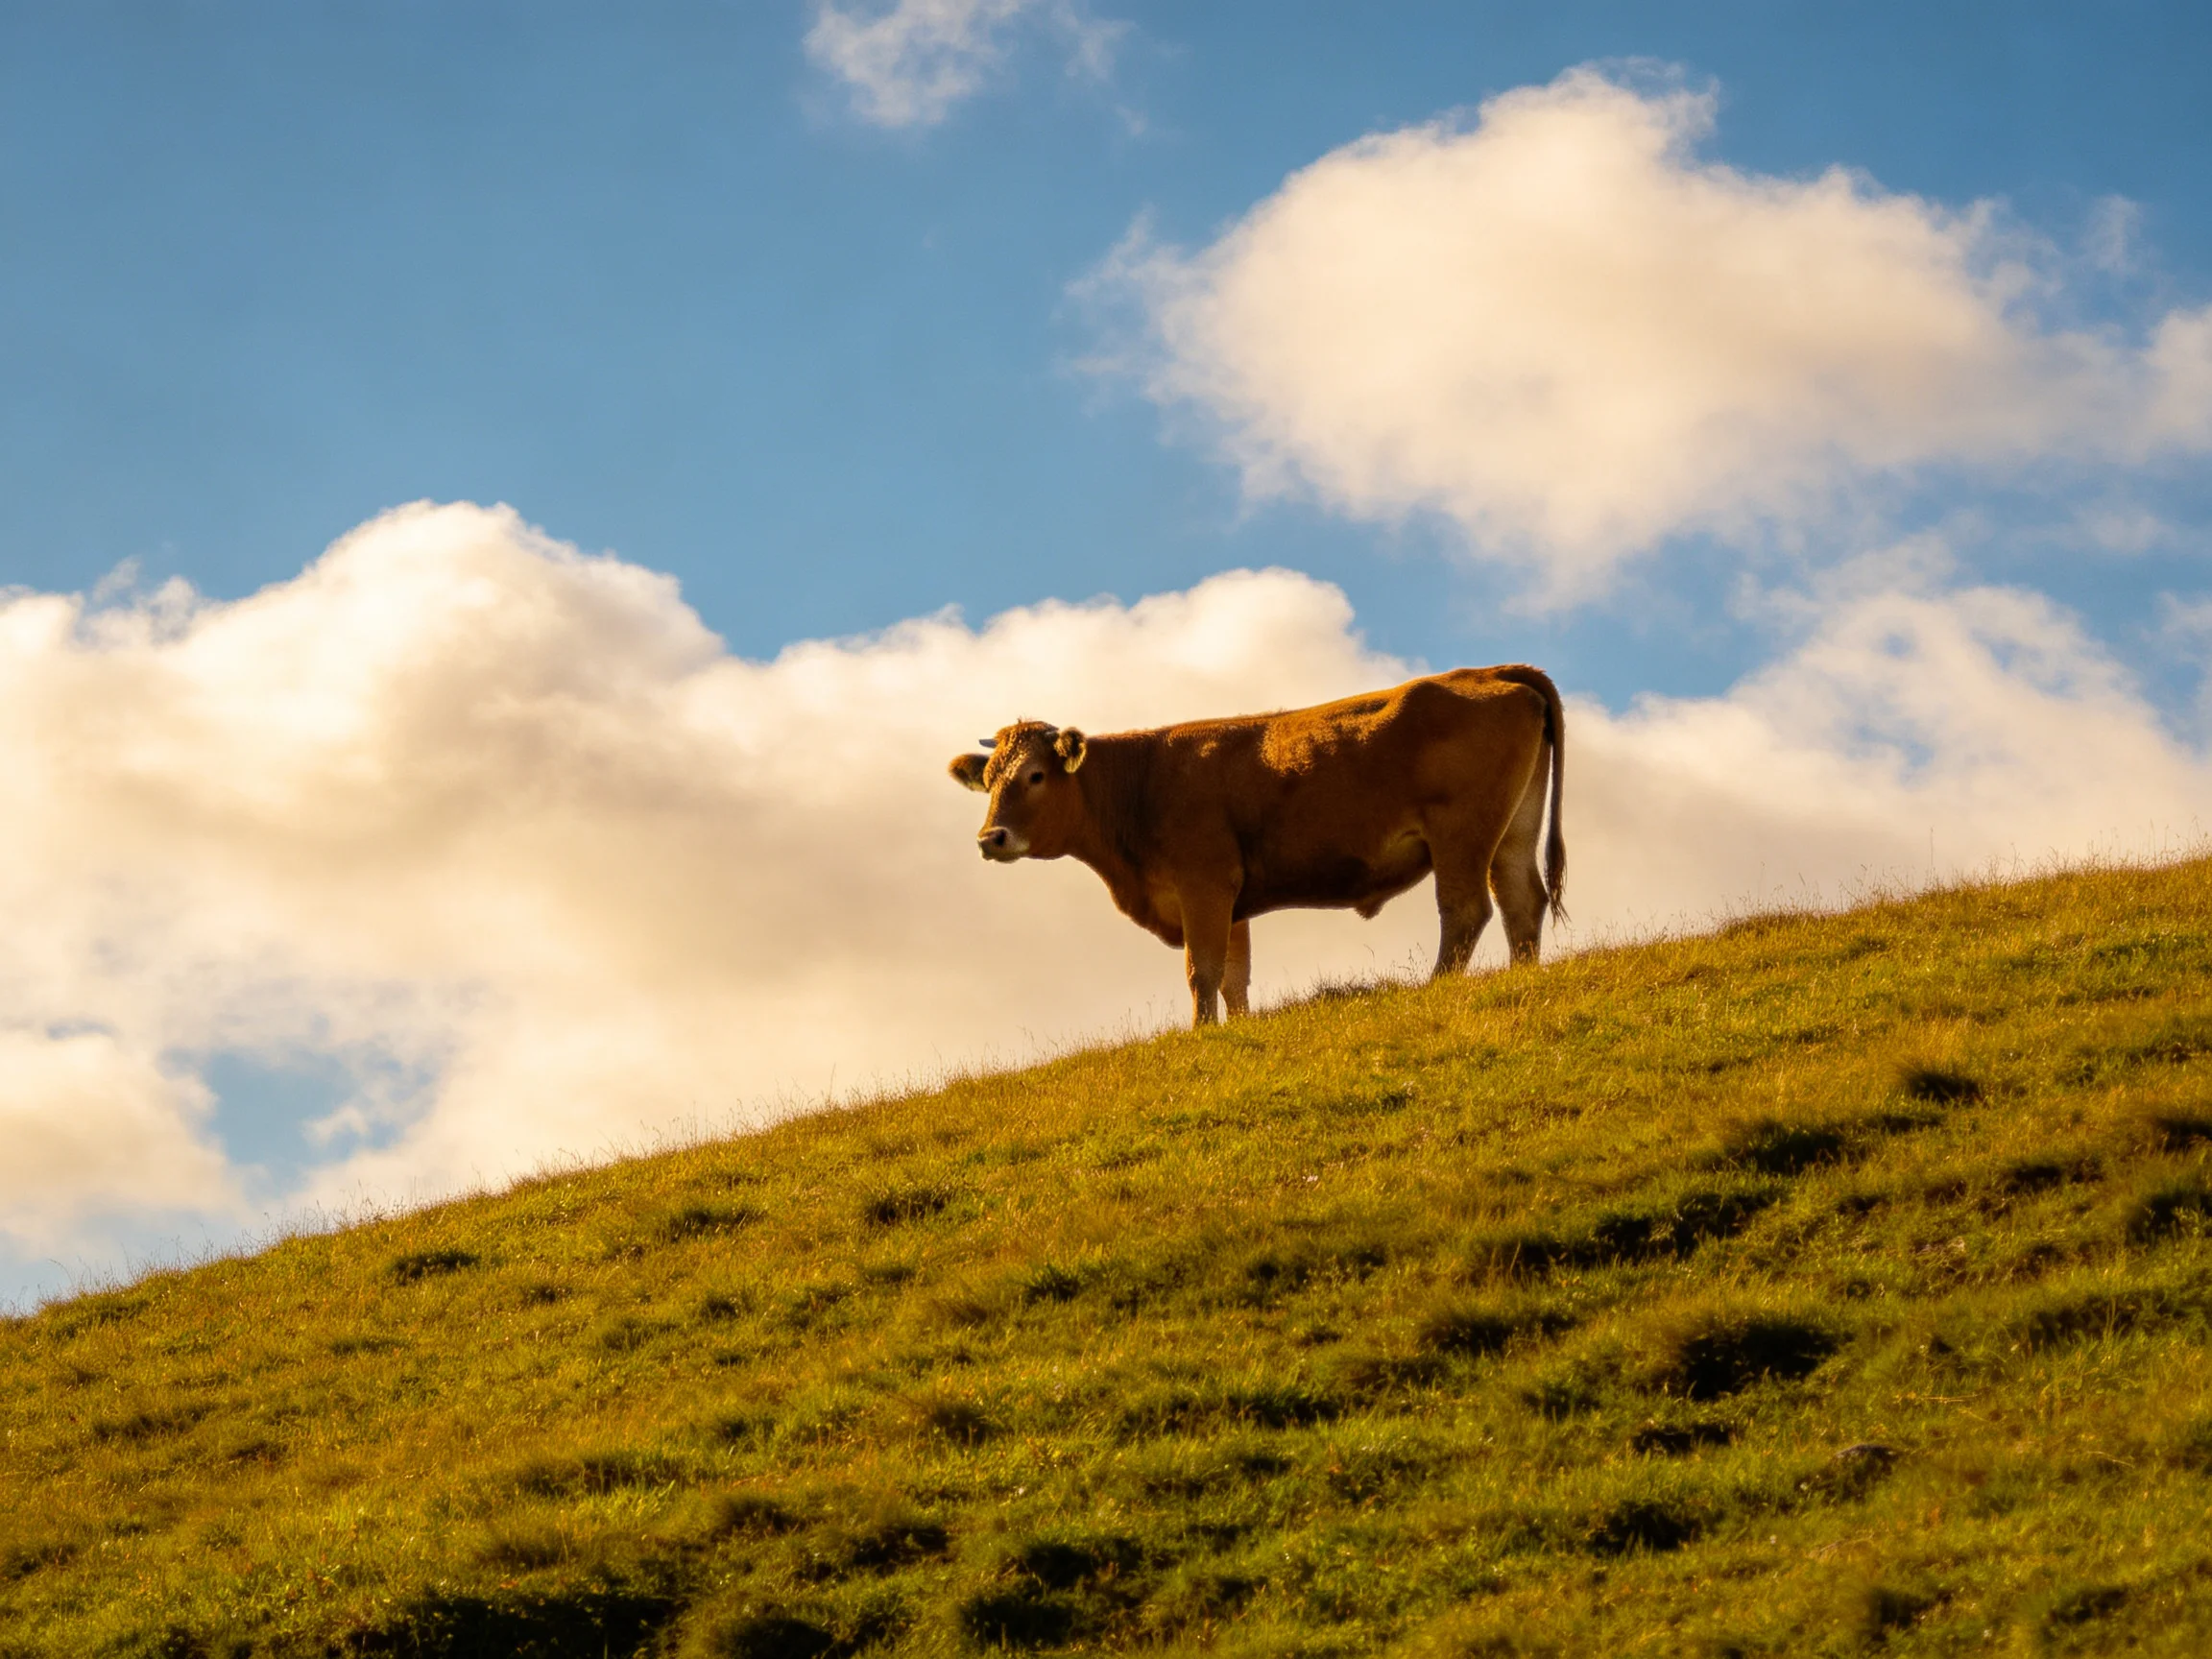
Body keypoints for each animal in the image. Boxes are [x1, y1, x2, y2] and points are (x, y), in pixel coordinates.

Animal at [947, 666, 1566, 1027]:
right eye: (991, 779)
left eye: (1035, 776)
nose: (990, 838)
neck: (1140, 782)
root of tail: (1485, 672)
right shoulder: (1232, 901)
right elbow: (1233, 976)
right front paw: (1237, 1030)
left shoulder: (1203, 885)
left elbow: (1202, 970)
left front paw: (1201, 1034)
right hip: (1512, 832)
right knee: (1521, 902)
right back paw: (1523, 975)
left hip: (1462, 834)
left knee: (1466, 910)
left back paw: (1438, 984)